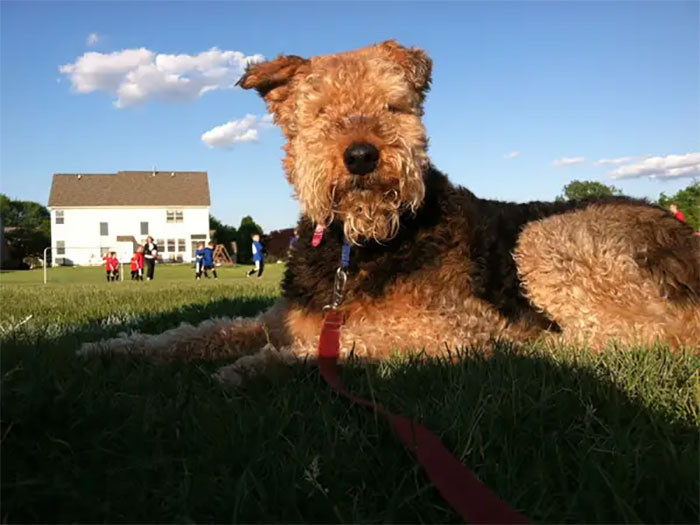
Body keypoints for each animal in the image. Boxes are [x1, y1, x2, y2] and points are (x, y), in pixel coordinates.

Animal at [82, 39, 700, 378]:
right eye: (321, 111)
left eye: (393, 106)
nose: (361, 156)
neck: (355, 247)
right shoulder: (278, 318)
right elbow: (197, 331)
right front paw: (111, 349)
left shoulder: (456, 326)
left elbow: (346, 343)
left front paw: (259, 367)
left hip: (550, 242)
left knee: (651, 334)